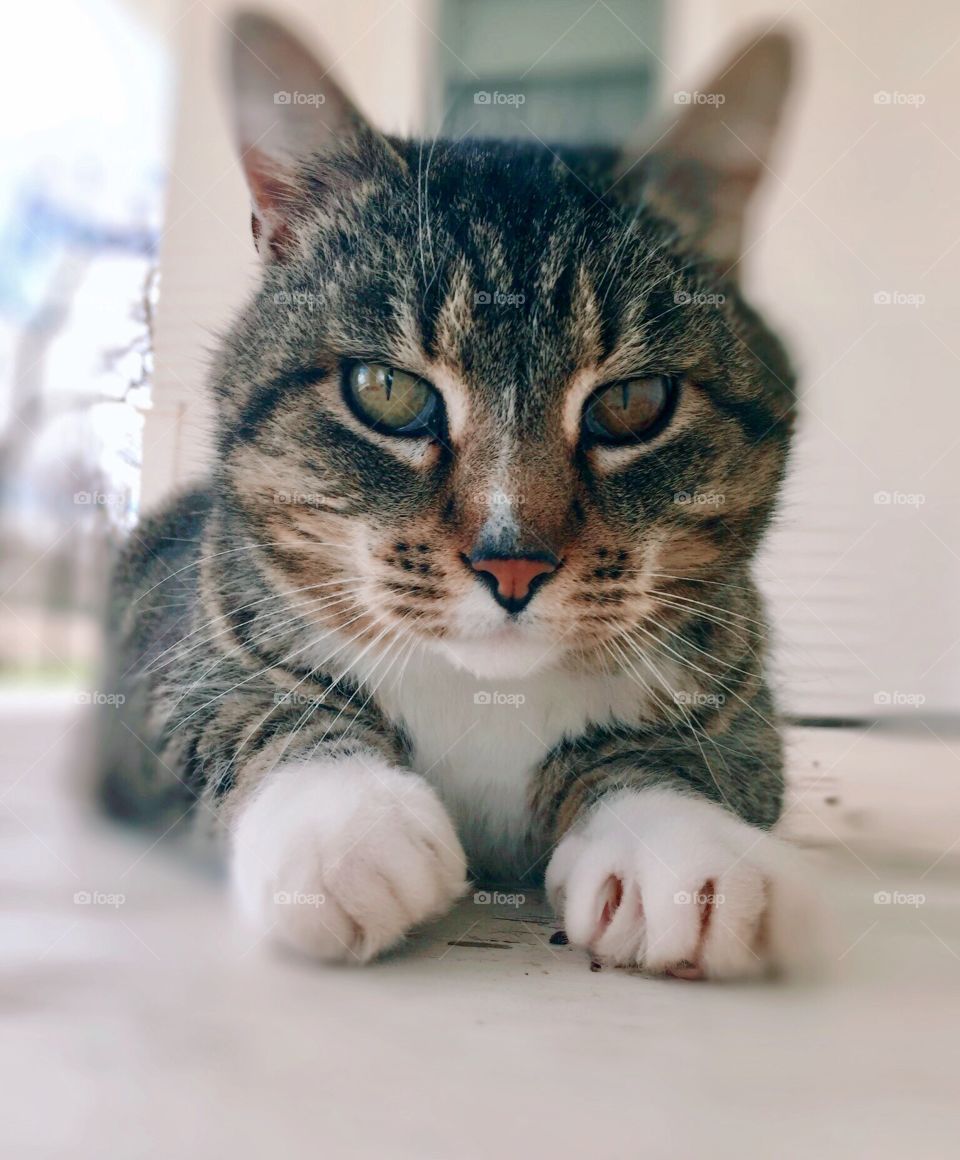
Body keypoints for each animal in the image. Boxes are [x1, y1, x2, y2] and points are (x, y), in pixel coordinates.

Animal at [99, 13, 816, 979]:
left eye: (633, 402)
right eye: (386, 391)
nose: (511, 563)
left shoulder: (738, 700)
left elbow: (684, 756)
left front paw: (684, 845)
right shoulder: (174, 653)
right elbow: (247, 706)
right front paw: (344, 823)